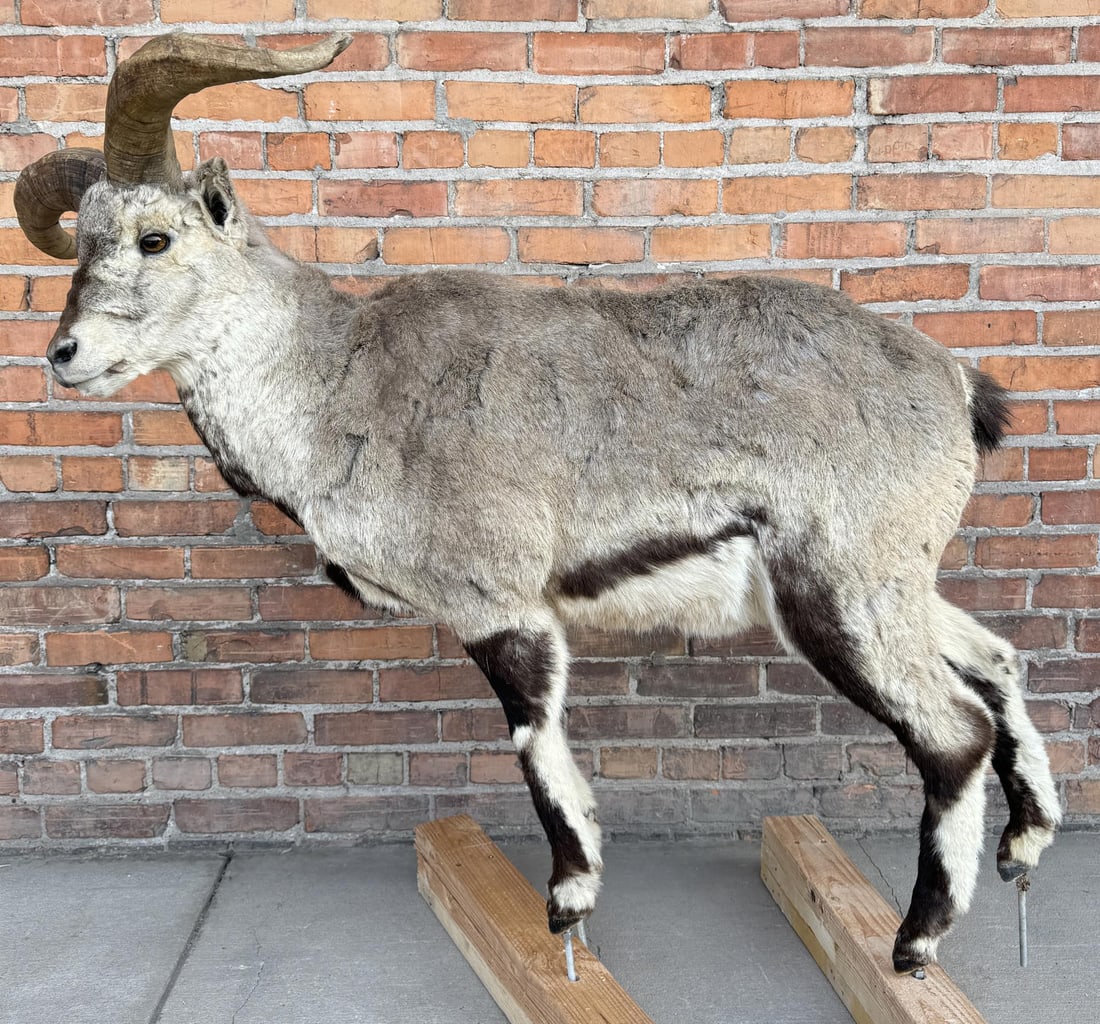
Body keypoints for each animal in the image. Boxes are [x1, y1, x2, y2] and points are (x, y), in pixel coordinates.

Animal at [15, 32, 1060, 978]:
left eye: (155, 237)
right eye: (86, 239)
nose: (64, 356)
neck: (335, 383)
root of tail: (955, 384)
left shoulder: (500, 603)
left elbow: (534, 742)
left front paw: (568, 902)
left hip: (841, 591)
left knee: (952, 732)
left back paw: (916, 942)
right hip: (891, 584)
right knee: (996, 662)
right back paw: (1026, 844)